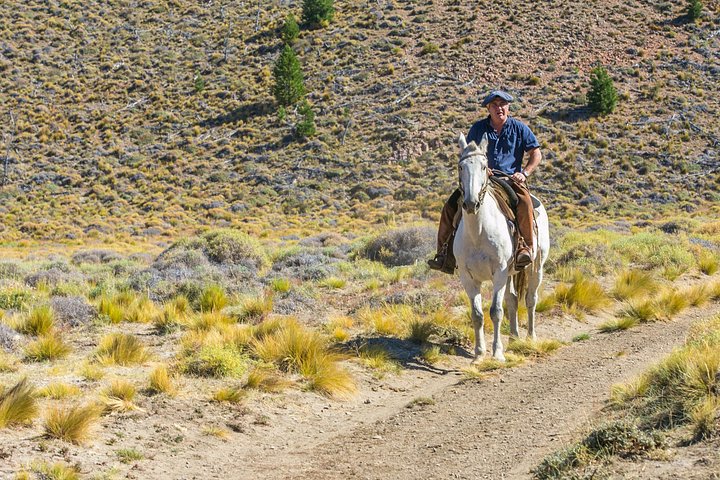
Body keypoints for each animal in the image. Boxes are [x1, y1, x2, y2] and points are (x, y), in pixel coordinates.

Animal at [454, 133, 550, 363]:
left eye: (483, 166)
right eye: (461, 167)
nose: (470, 203)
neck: (478, 232)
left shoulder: (499, 272)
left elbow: (496, 312)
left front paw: (497, 353)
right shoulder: (467, 277)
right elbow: (477, 315)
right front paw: (479, 354)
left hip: (536, 267)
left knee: (530, 299)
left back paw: (530, 337)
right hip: (510, 274)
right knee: (513, 300)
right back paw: (514, 338)